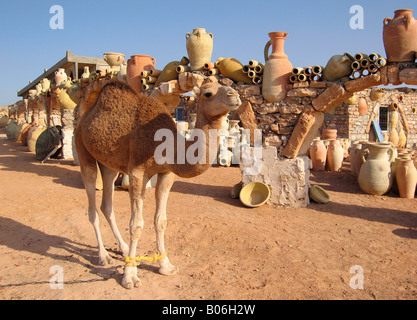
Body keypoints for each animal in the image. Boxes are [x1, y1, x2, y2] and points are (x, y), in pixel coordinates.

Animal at [75, 80, 240, 290]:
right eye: (208, 93)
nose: (234, 95)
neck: (169, 145)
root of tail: (84, 118)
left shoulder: (167, 173)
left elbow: (161, 220)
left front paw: (166, 265)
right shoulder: (137, 172)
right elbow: (136, 225)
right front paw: (130, 276)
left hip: (109, 164)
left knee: (107, 204)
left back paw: (124, 248)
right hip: (83, 149)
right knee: (92, 207)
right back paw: (103, 256)